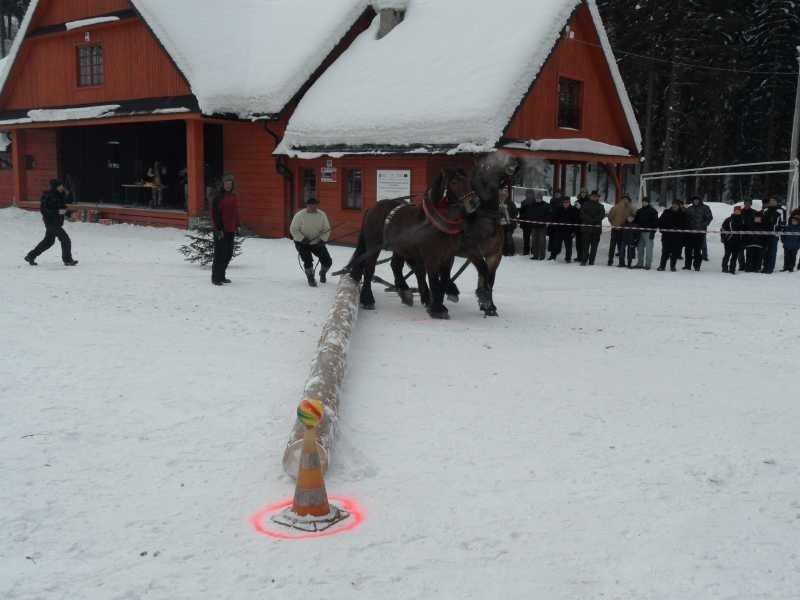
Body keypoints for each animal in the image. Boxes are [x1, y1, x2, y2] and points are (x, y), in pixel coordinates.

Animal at [346, 169, 478, 318]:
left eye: (468, 180)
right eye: (454, 182)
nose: (474, 202)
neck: (434, 223)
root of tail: (372, 208)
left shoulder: (448, 256)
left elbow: (443, 278)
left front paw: (442, 296)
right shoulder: (431, 257)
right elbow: (433, 280)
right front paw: (437, 308)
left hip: (399, 248)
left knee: (395, 266)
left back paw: (405, 291)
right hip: (374, 246)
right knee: (369, 269)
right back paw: (368, 299)